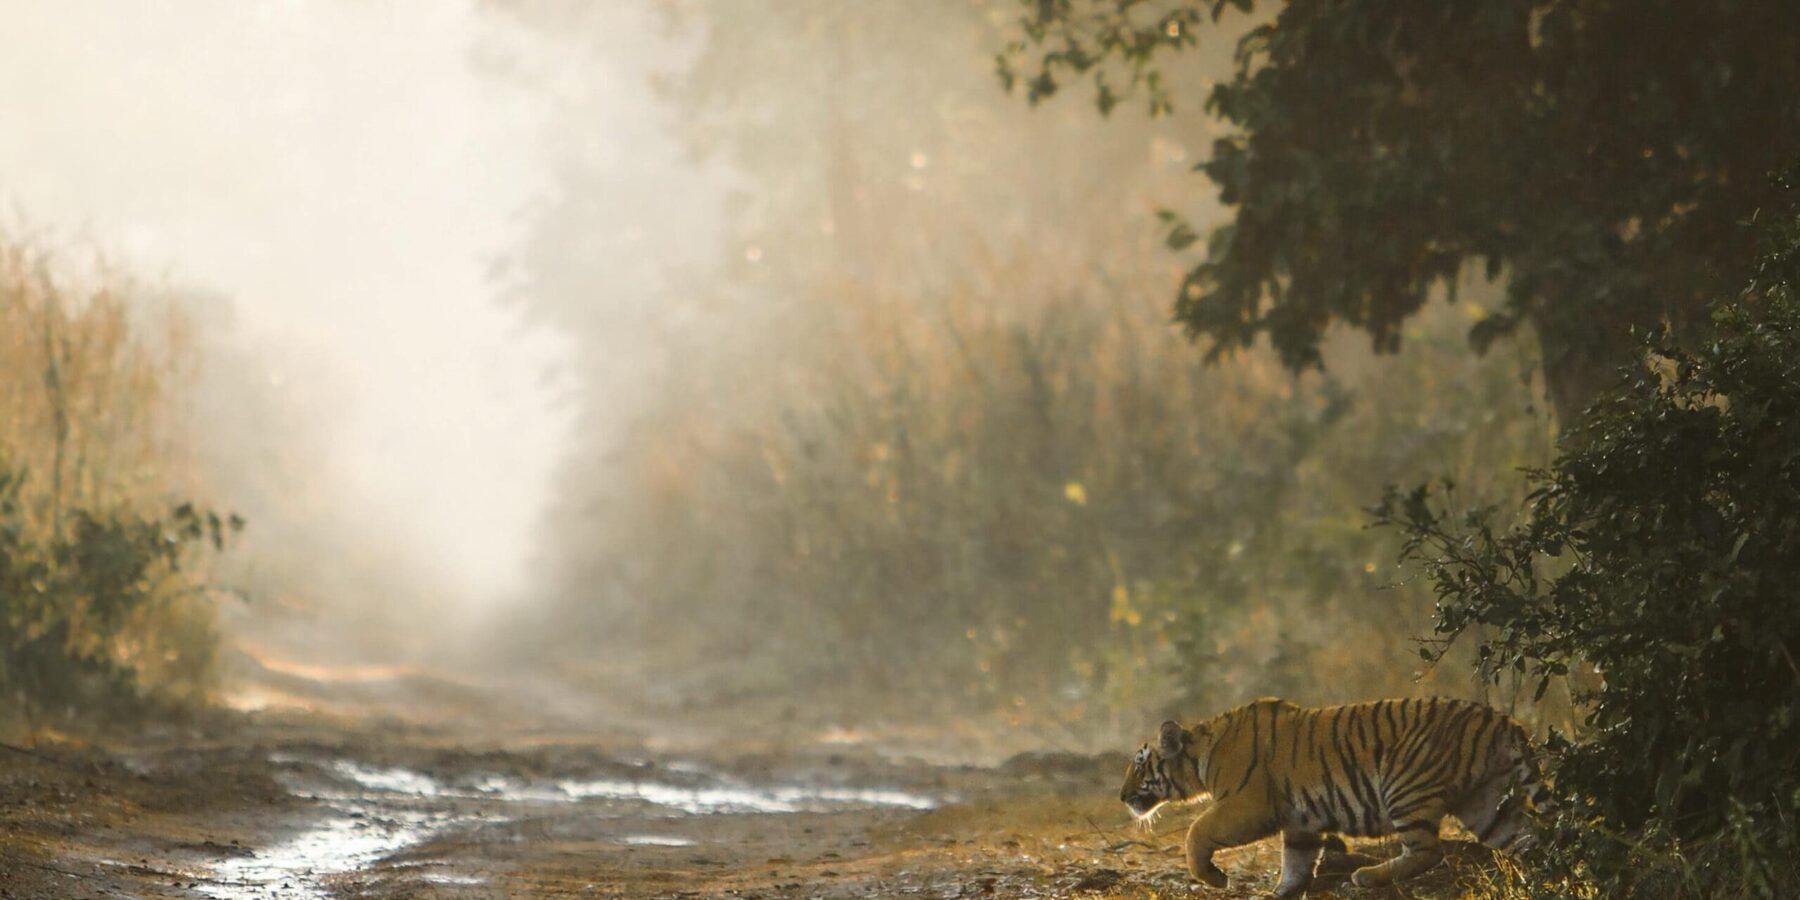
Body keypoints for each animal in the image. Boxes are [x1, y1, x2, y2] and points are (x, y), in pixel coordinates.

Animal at [1116, 698, 1540, 896]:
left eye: (1139, 765)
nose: (1121, 796)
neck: (1202, 757)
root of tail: (1502, 721)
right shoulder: (1300, 823)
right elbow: (1295, 865)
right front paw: (1279, 895)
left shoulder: (1247, 805)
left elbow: (1196, 832)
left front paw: (1215, 878)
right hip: (1486, 803)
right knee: (1528, 840)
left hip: (1405, 785)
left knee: (1428, 851)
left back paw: (1366, 876)